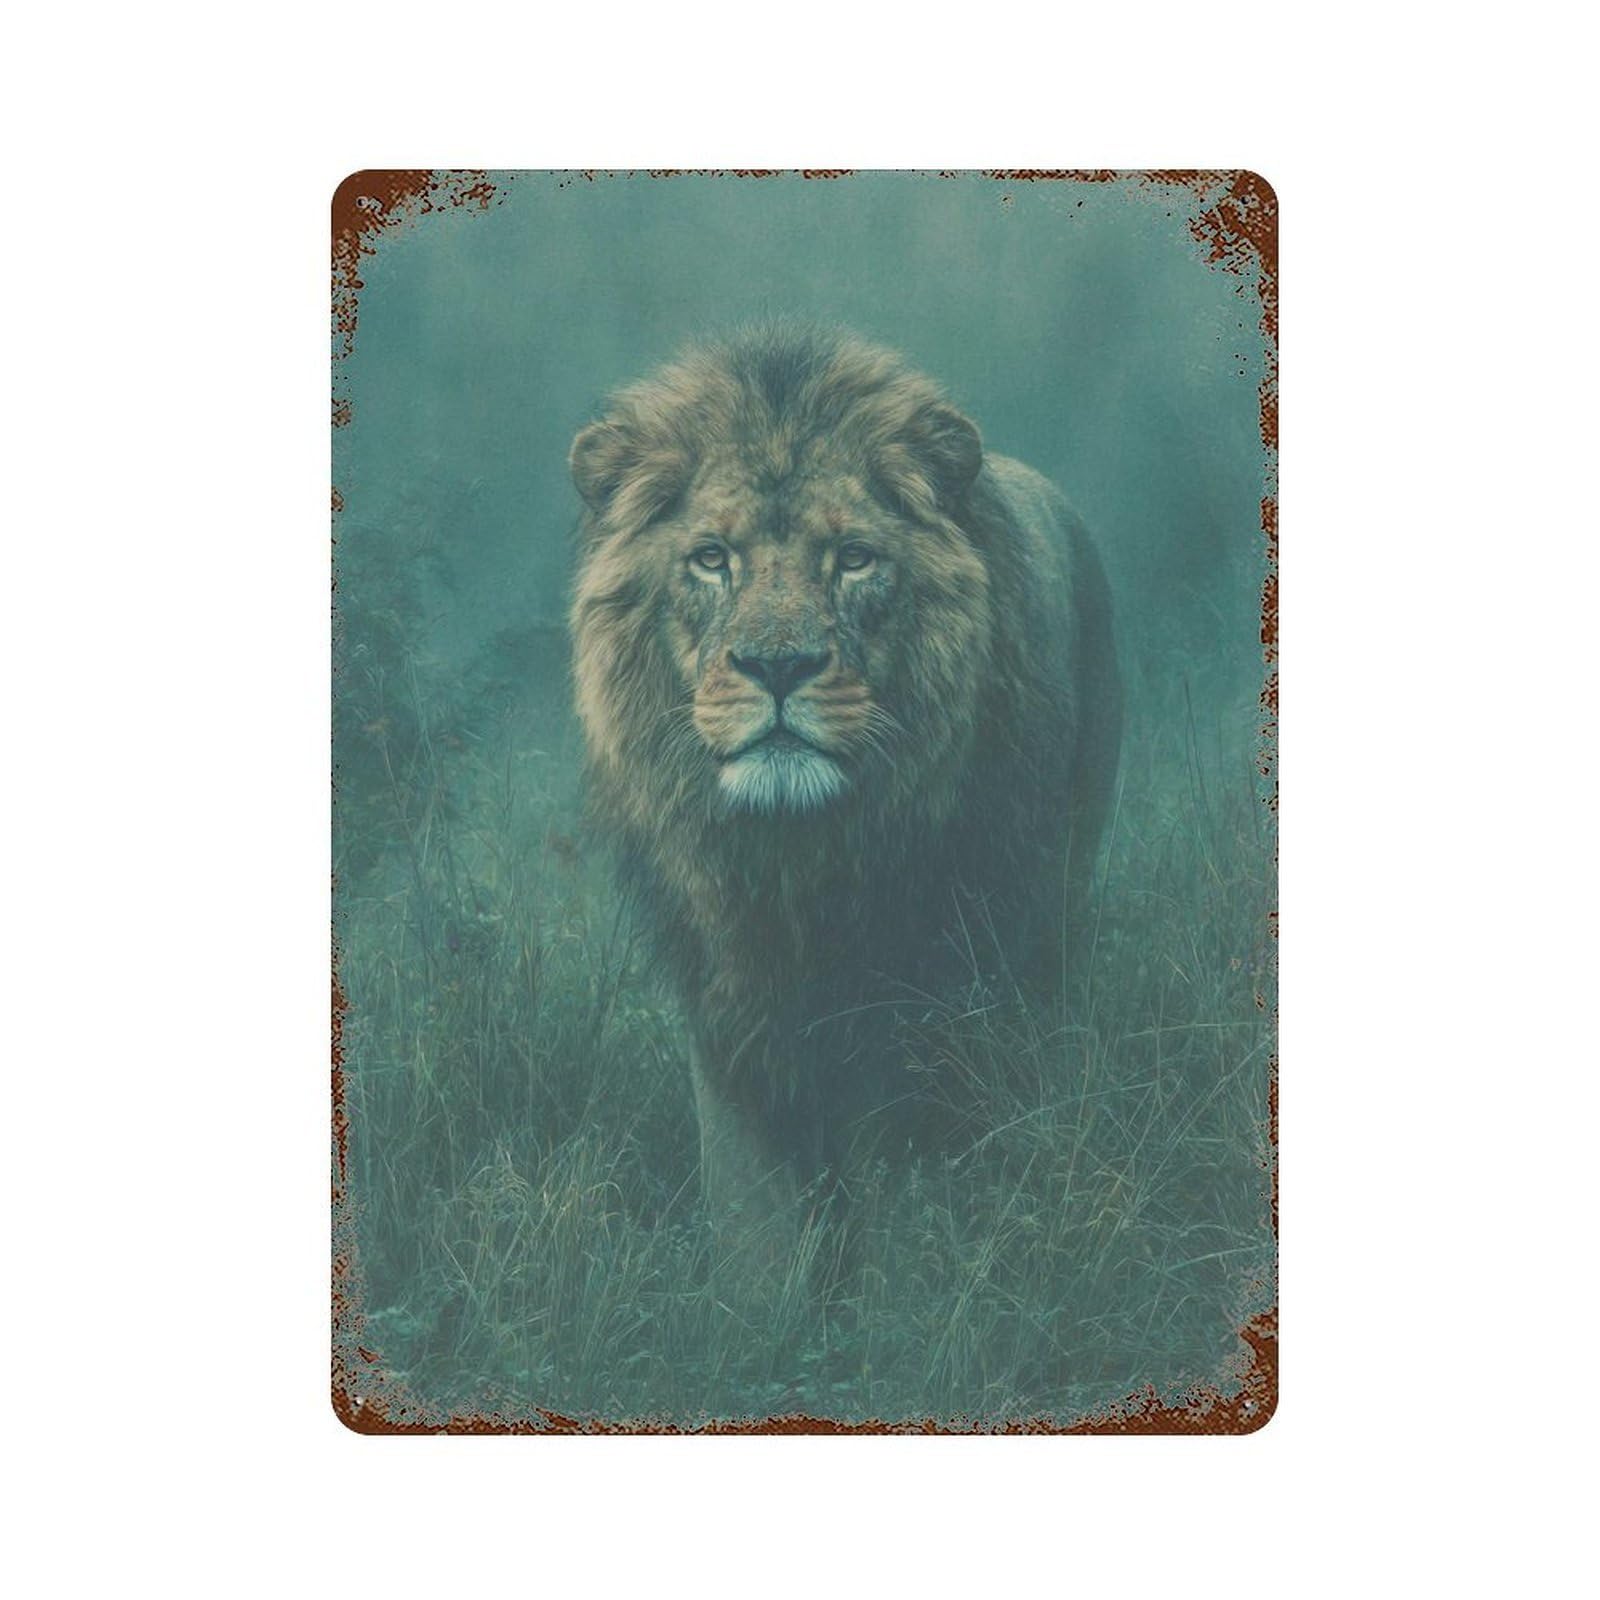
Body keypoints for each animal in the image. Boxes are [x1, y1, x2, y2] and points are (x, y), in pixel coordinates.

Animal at [569, 326, 1122, 1222]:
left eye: (854, 558)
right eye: (711, 558)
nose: (778, 665)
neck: (796, 861)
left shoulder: (906, 1018)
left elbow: (895, 1183)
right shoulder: (726, 1020)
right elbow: (751, 1218)